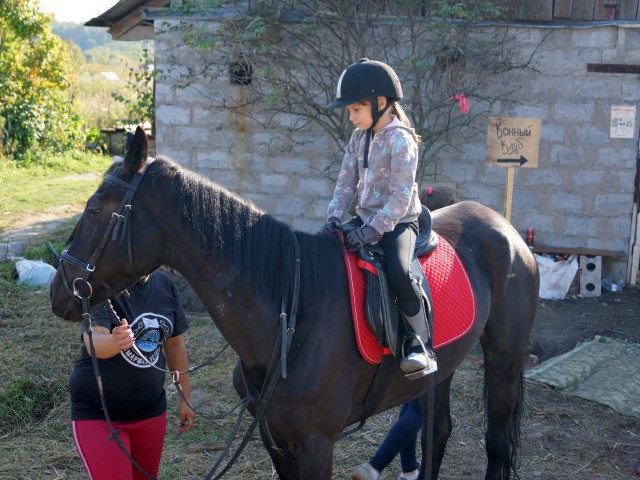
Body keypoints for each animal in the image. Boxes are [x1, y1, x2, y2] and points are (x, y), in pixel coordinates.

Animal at [51, 127, 540, 480]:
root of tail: (507, 230)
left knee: (496, 443)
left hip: (504, 361)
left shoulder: (316, 445)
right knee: (436, 434)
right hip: (443, 369)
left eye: (94, 210)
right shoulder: (276, 441)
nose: (60, 292)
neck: (290, 319)